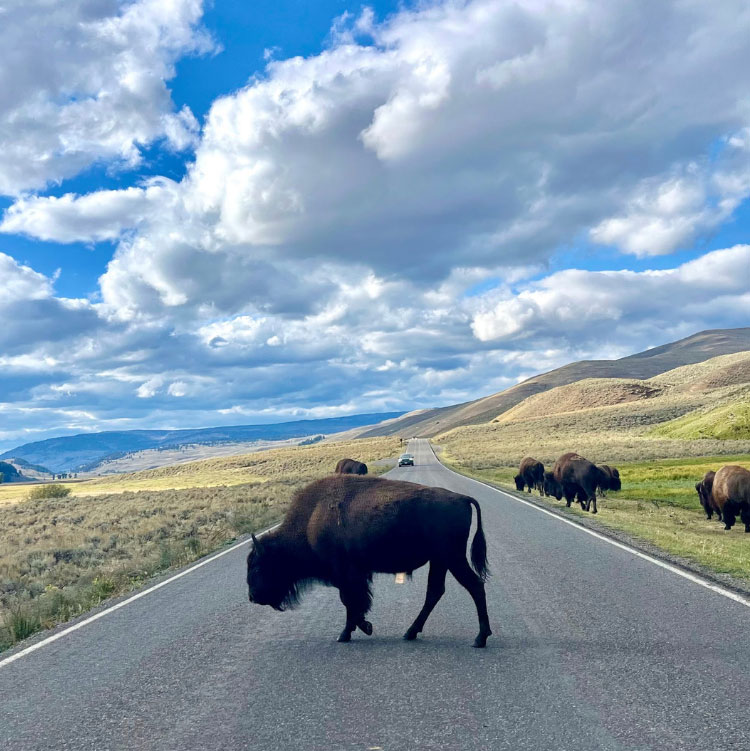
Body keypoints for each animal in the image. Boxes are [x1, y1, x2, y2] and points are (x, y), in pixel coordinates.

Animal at [246, 475, 492, 647]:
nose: (252, 596)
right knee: (435, 592)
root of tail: (461, 498)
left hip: (452, 557)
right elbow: (354, 601)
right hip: (440, 561)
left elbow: (350, 601)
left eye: (257, 566)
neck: (310, 521)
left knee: (474, 586)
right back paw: (410, 632)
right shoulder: (354, 575)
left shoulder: (345, 574)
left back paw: (480, 638)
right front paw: (360, 627)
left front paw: (351, 632)